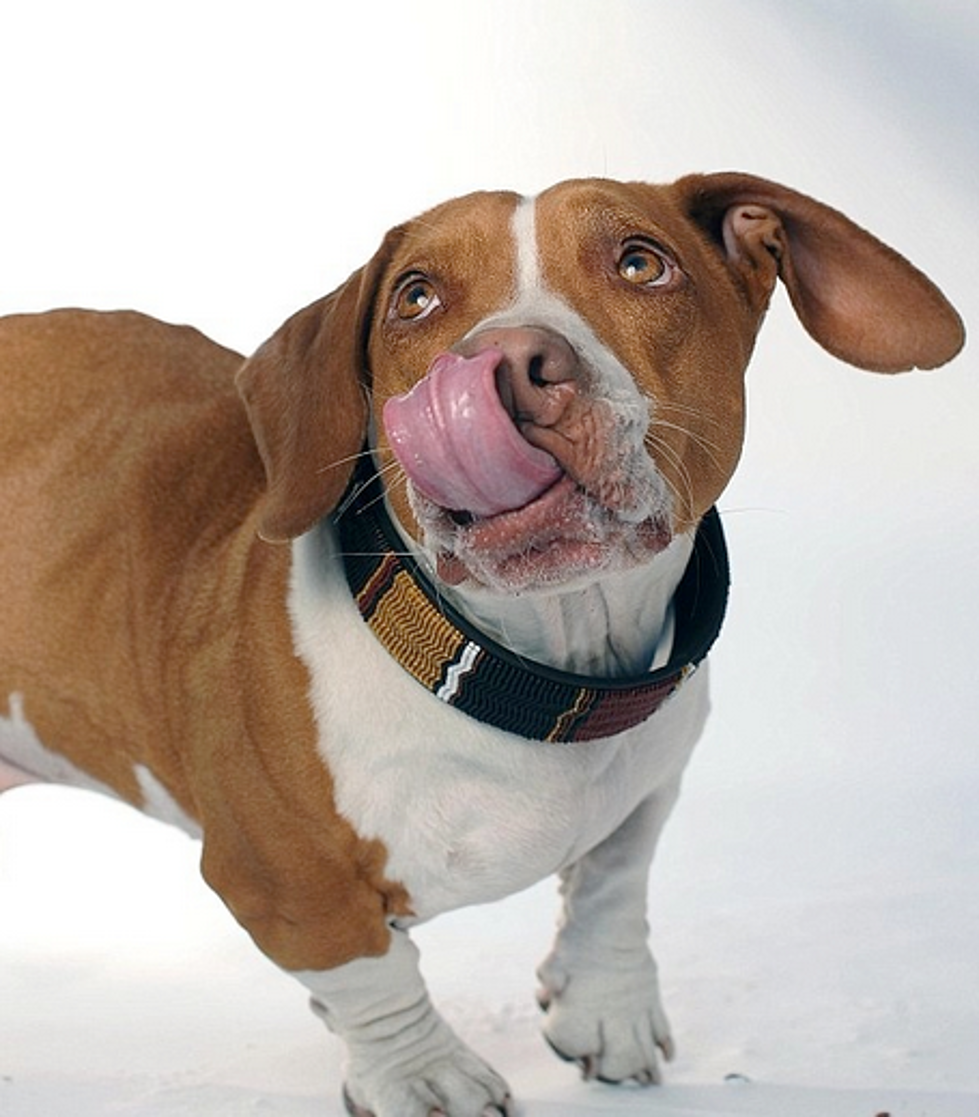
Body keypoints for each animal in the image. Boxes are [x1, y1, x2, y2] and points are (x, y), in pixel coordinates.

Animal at [0, 169, 965, 1112]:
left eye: (641, 262)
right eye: (415, 296)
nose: (507, 364)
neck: (531, 675)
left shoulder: (650, 775)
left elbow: (614, 876)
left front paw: (605, 1004)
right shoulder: (283, 882)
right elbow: (374, 974)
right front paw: (424, 1076)